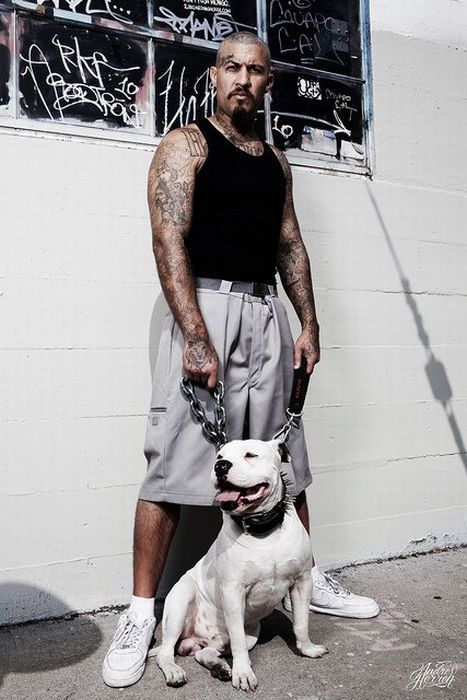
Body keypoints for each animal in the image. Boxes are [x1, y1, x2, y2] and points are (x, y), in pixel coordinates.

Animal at [152, 438, 328, 688]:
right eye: (219, 456)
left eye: (250, 455)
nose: (221, 466)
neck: (263, 531)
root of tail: (197, 637)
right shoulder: (233, 592)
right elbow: (237, 642)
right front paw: (243, 673)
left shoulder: (302, 582)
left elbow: (301, 622)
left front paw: (307, 649)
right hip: (180, 603)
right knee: (166, 651)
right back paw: (174, 671)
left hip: (249, 633)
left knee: (205, 652)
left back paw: (218, 666)